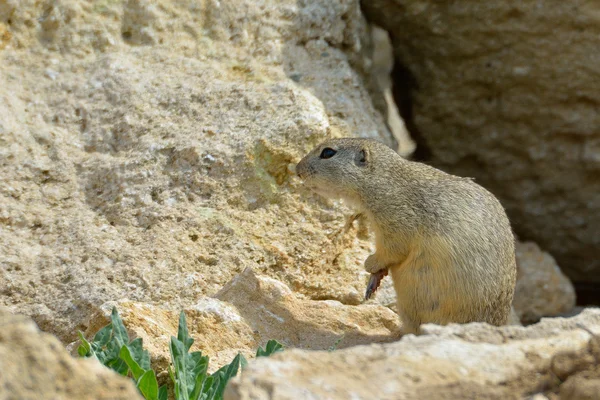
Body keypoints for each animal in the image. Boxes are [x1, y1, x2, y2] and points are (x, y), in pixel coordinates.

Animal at [296, 138, 516, 334]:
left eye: (328, 152)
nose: (297, 170)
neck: (385, 179)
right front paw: (374, 281)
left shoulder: (395, 223)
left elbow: (391, 251)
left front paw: (370, 265)